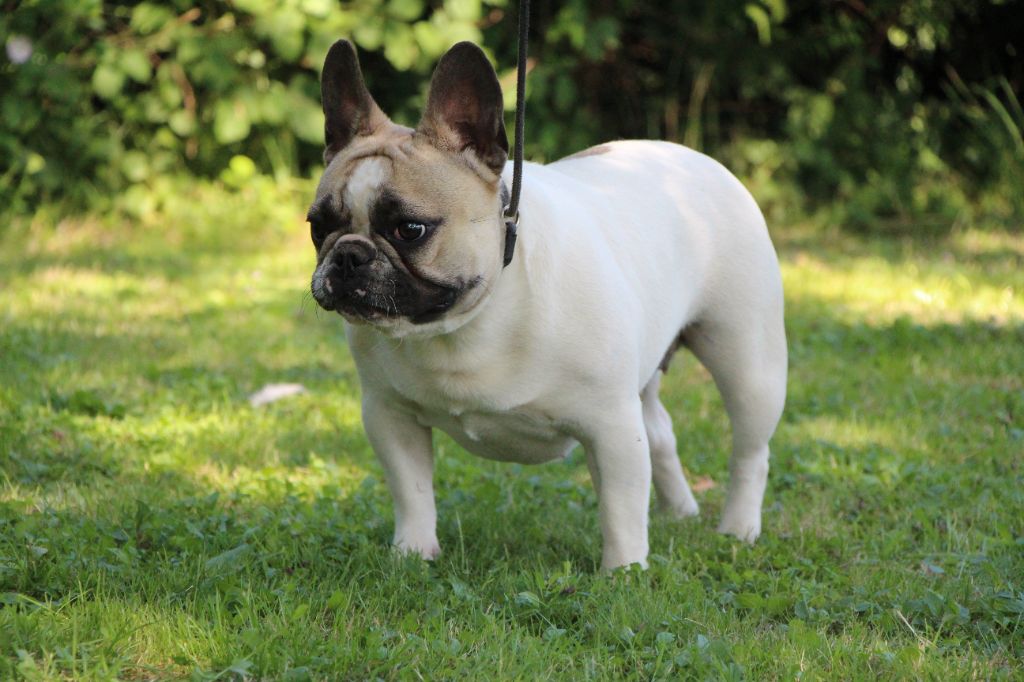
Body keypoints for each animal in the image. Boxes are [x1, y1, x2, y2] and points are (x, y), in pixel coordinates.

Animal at [307, 38, 786, 569]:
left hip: (747, 362)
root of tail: (693, 158)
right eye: (317, 227)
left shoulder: (611, 426)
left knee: (750, 452)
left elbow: (620, 507)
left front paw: (624, 572)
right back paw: (680, 510)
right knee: (660, 431)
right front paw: (413, 554)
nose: (348, 255)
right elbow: (411, 492)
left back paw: (738, 528)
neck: (465, 325)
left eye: (410, 230)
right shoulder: (389, 416)